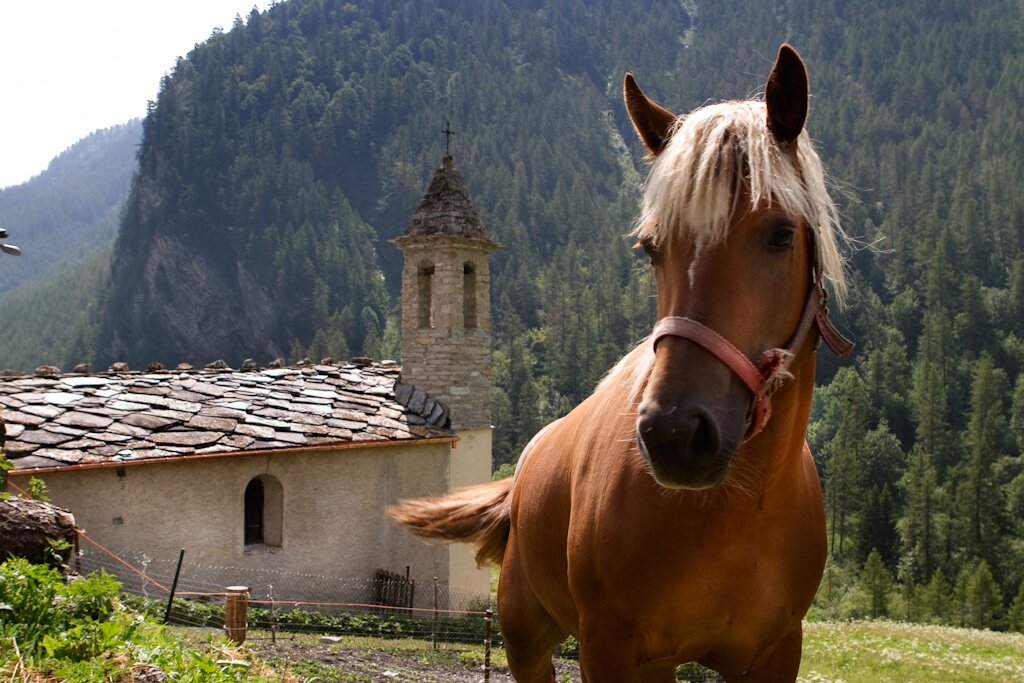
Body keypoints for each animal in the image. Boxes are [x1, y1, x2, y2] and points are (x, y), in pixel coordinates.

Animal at [390, 44, 853, 682]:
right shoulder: (609, 647)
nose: (674, 435)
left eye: (781, 235)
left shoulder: (775, 654)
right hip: (527, 640)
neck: (731, 512)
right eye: (651, 248)